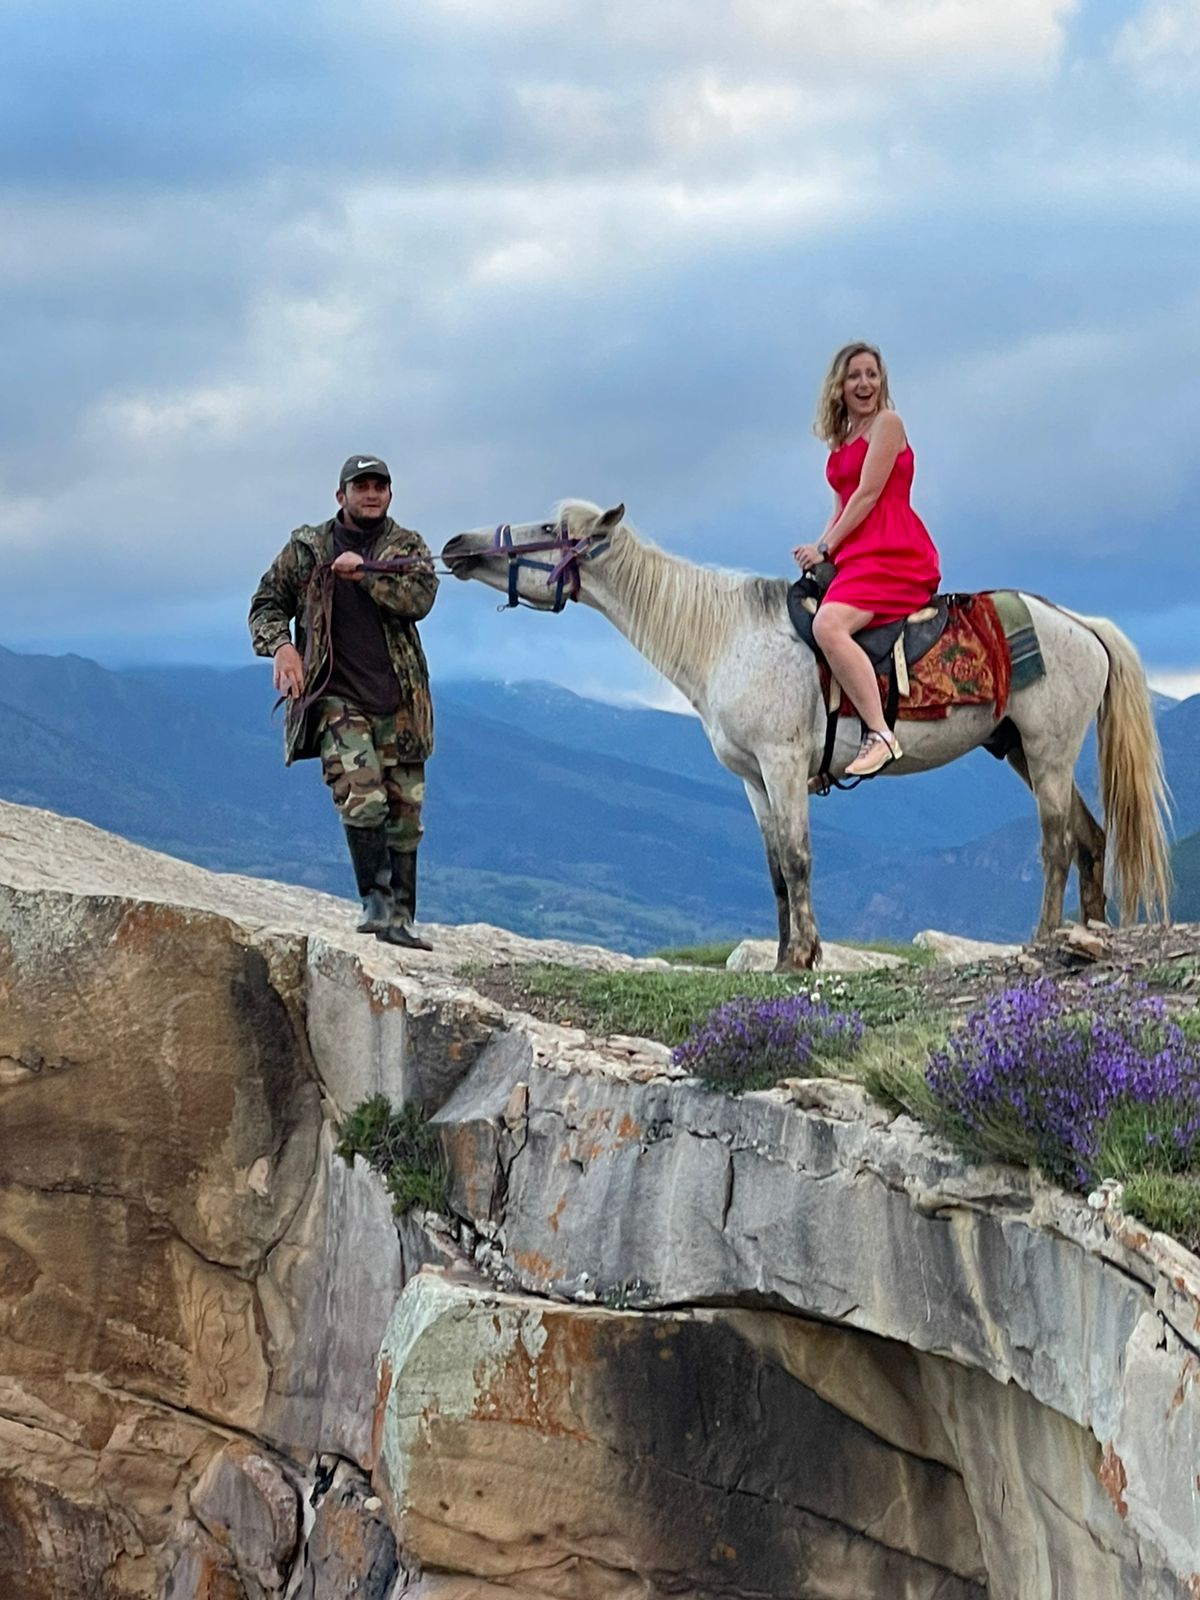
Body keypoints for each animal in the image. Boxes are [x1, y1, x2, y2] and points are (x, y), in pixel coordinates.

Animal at [442, 502, 1171, 970]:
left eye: (548, 527)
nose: (456, 546)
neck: (724, 636)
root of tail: (1081, 622)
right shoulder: (751, 777)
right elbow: (773, 870)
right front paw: (780, 956)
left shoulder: (784, 762)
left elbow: (797, 859)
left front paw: (801, 955)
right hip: (1023, 750)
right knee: (1091, 837)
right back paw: (1090, 932)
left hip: (1048, 750)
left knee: (1056, 843)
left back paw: (1044, 938)